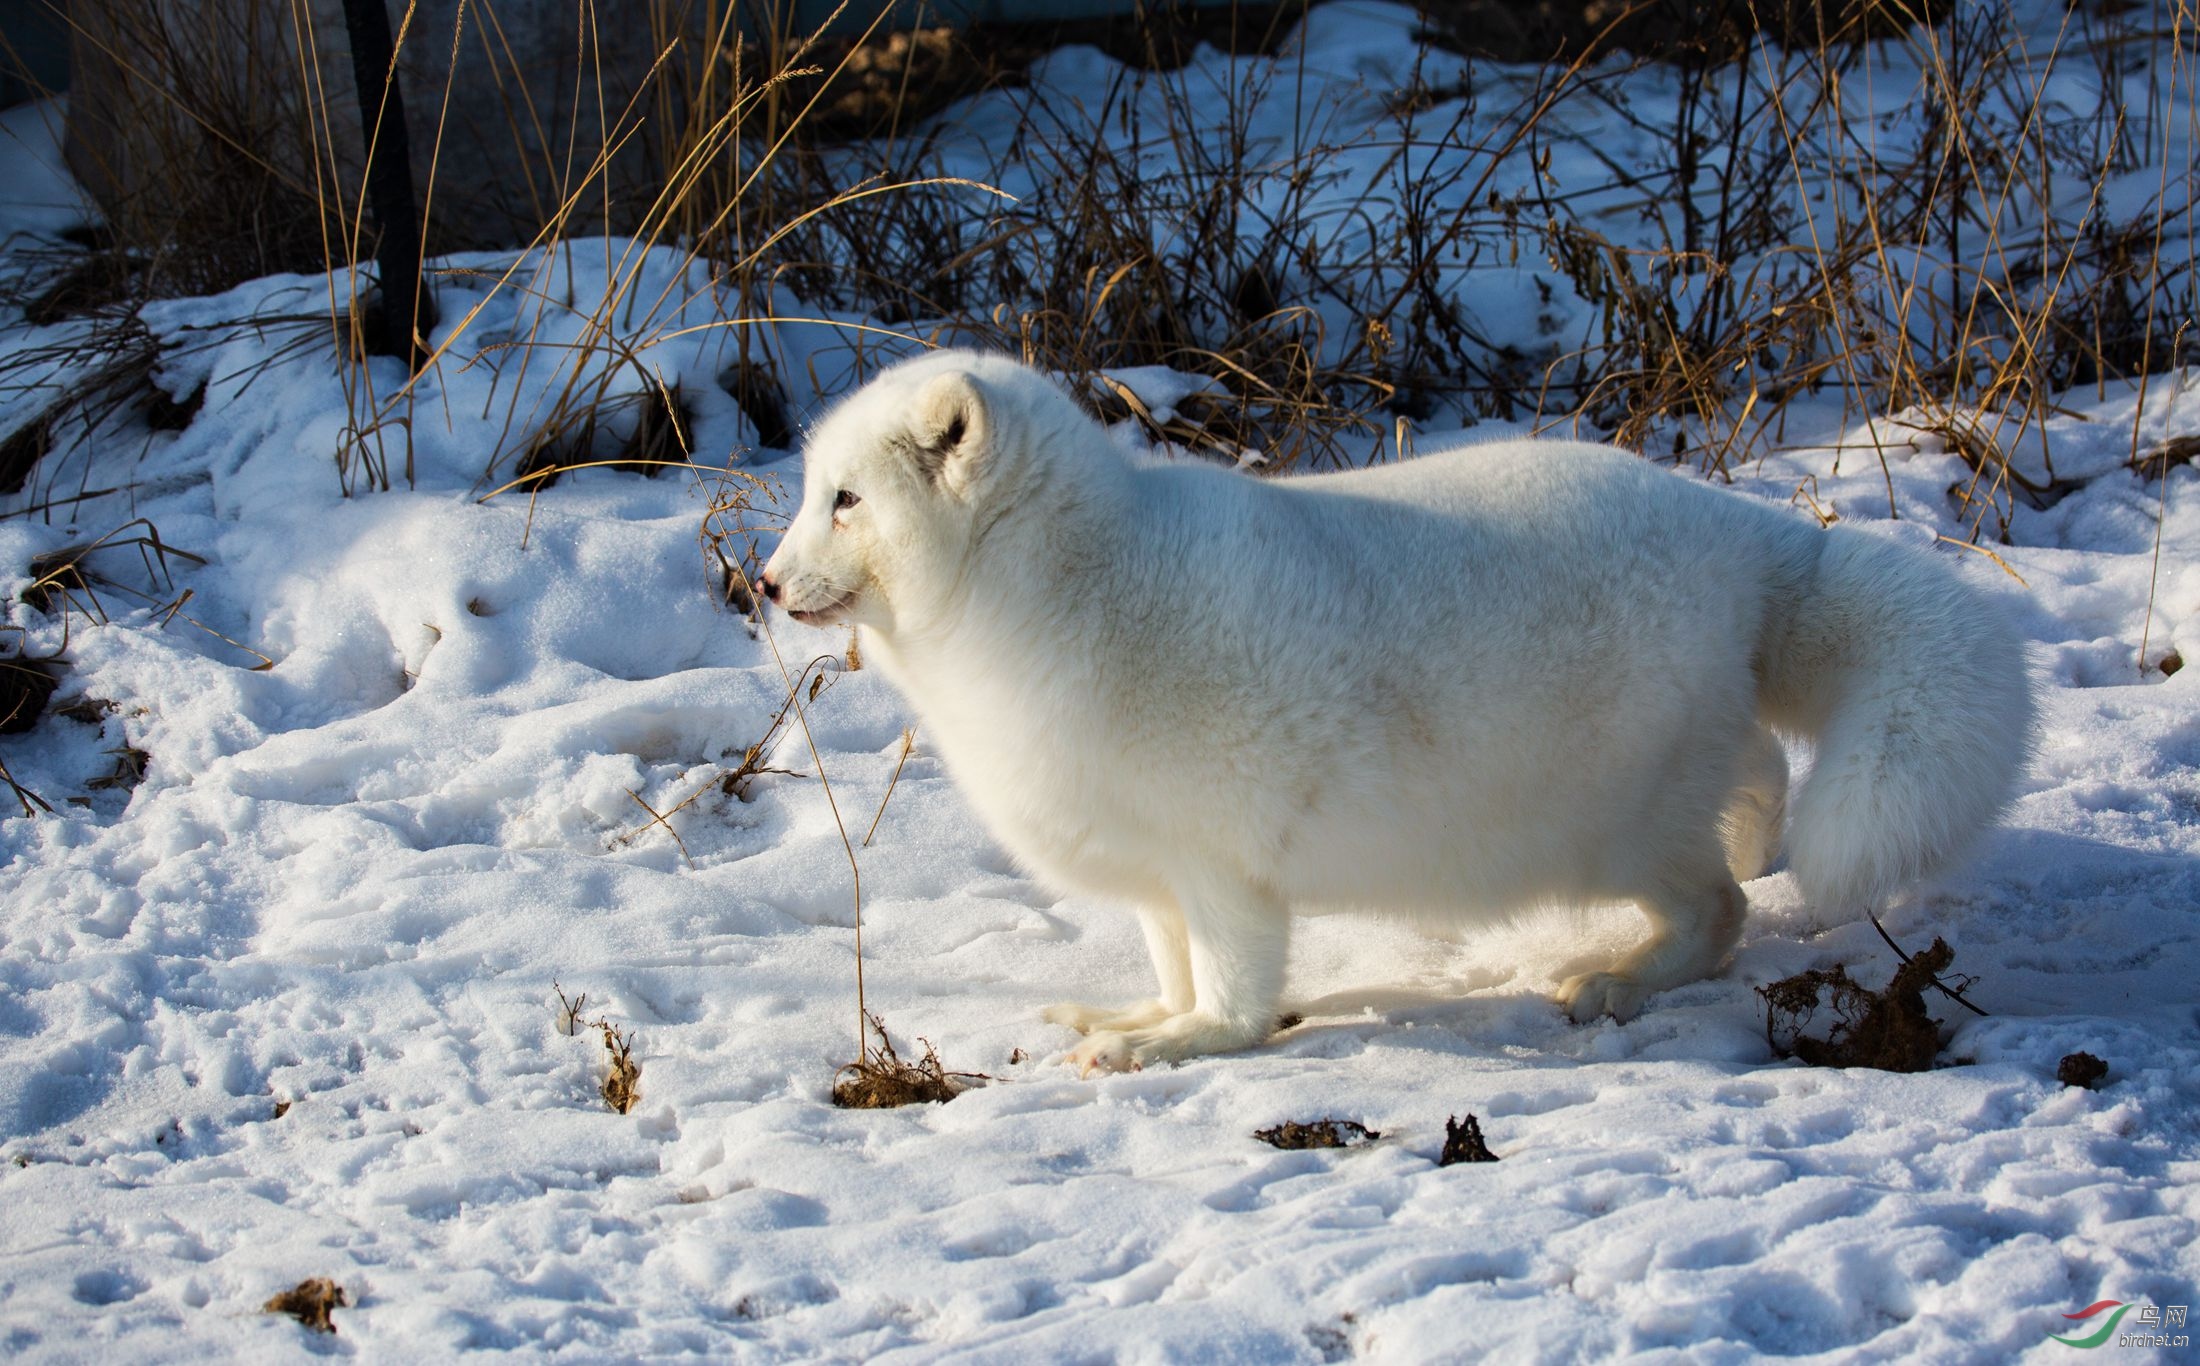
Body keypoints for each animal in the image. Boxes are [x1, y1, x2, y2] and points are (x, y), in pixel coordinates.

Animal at [765, 345, 2032, 1069]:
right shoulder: (1155, 874)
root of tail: (1739, 530)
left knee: (1716, 912)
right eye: (813, 491)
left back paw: (1619, 976)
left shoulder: (1224, 866)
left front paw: (1187, 1044)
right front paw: (1137, 1020)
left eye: (846, 500)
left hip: (1611, 828)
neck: (1063, 589)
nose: (764, 585)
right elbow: (1171, 966)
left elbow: (1236, 993)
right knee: (1761, 773)